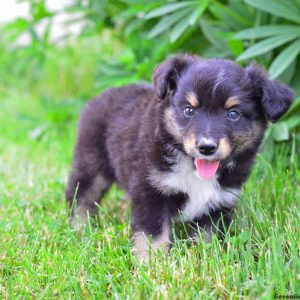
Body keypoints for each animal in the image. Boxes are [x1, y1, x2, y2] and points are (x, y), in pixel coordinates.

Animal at [65, 54, 292, 262]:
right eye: (189, 110)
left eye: (233, 114)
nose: (206, 147)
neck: (191, 168)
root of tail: (103, 94)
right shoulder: (151, 192)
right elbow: (152, 236)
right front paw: (151, 267)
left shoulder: (219, 203)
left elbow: (206, 239)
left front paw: (203, 261)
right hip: (91, 163)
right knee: (81, 197)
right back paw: (80, 230)